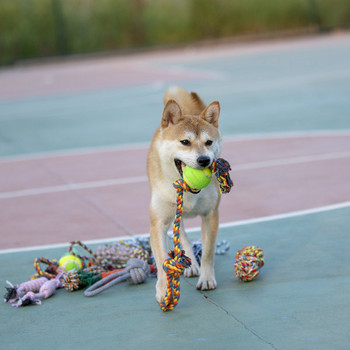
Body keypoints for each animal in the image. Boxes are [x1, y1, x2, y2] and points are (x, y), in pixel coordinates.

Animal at [147, 87, 223, 304]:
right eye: (185, 142)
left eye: (208, 142)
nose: (204, 160)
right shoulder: (159, 222)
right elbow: (161, 258)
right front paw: (163, 290)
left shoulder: (210, 215)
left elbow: (208, 251)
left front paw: (206, 279)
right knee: (182, 235)